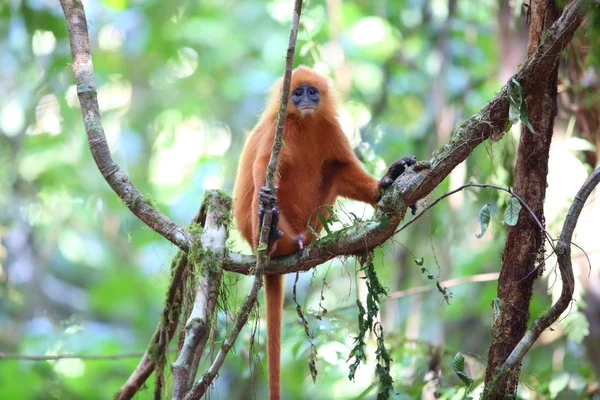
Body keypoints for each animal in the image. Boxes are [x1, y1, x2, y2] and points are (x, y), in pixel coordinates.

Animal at [232, 66, 414, 400]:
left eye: (312, 92)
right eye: (297, 93)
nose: (305, 100)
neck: (304, 123)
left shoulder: (330, 127)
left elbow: (343, 165)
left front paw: (387, 181)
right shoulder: (278, 129)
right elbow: (264, 167)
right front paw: (265, 203)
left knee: (336, 172)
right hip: (261, 232)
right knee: (265, 190)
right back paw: (272, 233)